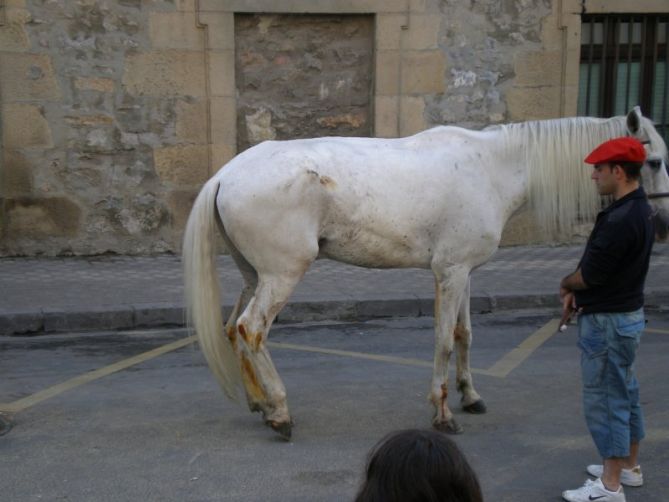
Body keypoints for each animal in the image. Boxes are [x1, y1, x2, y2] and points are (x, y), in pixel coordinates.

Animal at [180, 108, 668, 438]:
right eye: (655, 161)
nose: (661, 224)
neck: (489, 167)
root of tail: (226, 173)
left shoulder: (466, 273)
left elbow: (464, 335)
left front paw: (470, 397)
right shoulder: (449, 274)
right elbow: (443, 340)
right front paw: (443, 412)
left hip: (254, 276)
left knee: (233, 329)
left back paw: (259, 404)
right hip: (281, 277)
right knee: (252, 330)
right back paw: (280, 411)